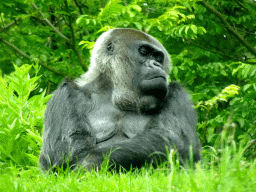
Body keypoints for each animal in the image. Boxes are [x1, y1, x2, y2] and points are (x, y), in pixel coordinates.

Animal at [39, 27, 201, 172]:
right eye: (144, 52)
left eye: (157, 57)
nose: (157, 64)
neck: (113, 93)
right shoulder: (64, 94)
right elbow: (64, 153)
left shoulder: (177, 93)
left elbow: (173, 138)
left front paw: (89, 164)